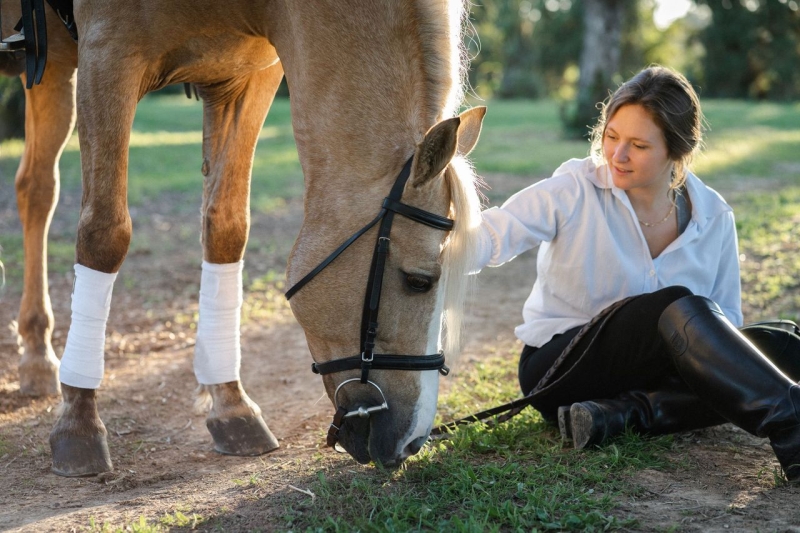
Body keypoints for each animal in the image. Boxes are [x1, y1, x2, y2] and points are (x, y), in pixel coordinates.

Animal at [3, 0, 484, 474]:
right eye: (419, 281)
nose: (412, 440)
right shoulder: (107, 54)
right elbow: (104, 234)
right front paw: (79, 421)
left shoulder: (245, 79)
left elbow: (226, 228)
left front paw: (231, 406)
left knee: (35, 189)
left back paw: (36, 356)